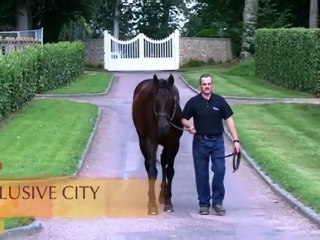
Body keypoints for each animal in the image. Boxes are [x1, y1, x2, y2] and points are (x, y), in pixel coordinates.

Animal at [132, 74, 182, 215]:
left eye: (171, 100)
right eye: (156, 100)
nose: (163, 127)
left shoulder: (173, 143)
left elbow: (170, 171)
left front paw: (168, 203)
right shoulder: (150, 142)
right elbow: (152, 171)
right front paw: (152, 205)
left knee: (164, 161)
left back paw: (162, 195)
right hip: (142, 141)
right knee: (148, 165)